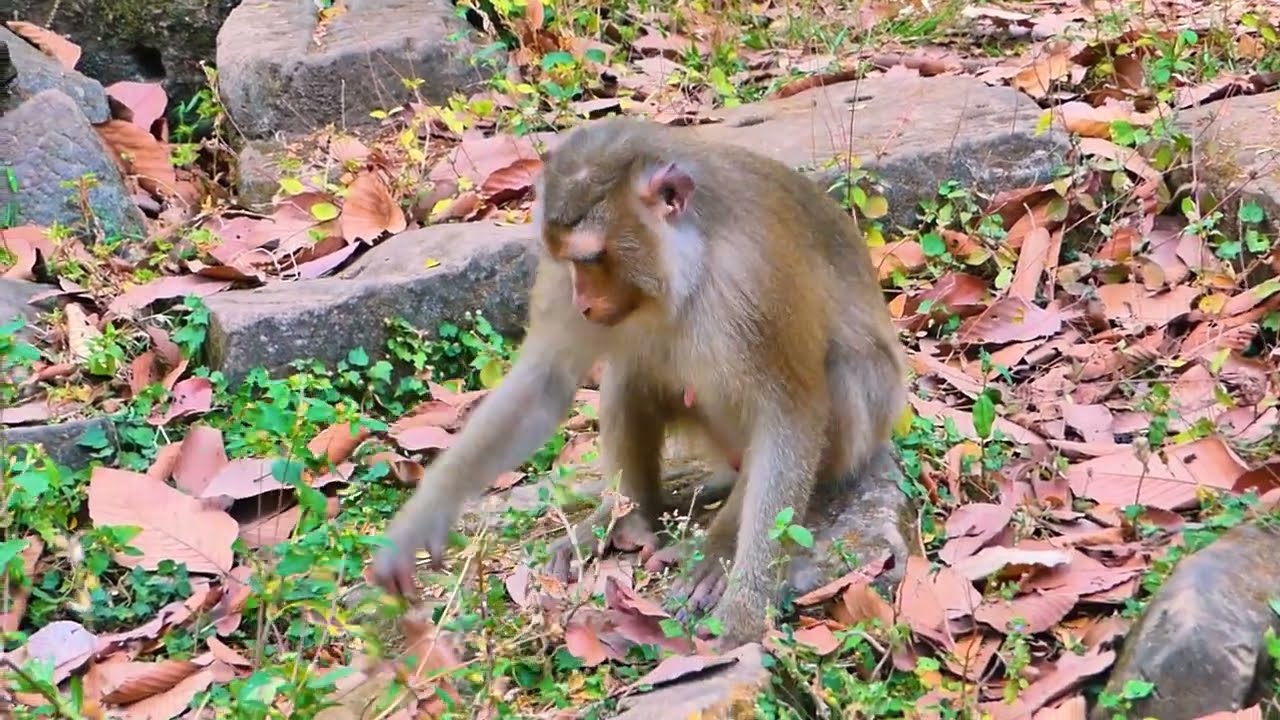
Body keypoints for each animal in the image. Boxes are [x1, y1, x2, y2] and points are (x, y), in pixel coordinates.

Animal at [371, 116, 908, 649]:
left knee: (838, 376)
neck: (693, 259)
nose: (583, 302)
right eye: (569, 261)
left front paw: (742, 608)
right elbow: (543, 383)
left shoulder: (758, 278)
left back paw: (720, 543)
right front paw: (418, 522)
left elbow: (791, 416)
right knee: (631, 374)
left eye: (591, 259)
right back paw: (630, 517)